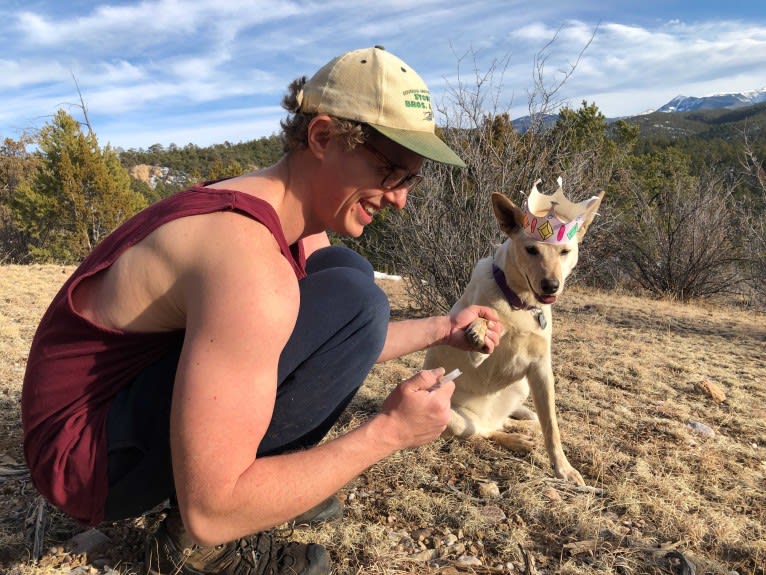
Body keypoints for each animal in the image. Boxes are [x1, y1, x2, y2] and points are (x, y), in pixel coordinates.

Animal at [426, 181, 608, 486]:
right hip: (453, 417)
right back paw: (517, 441)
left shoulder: (541, 370)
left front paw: (564, 469)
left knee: (508, 422)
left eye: (564, 252)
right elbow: (485, 321)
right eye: (531, 249)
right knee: (483, 431)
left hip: (521, 387)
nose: (551, 285)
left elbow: (551, 426)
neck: (519, 302)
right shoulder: (479, 353)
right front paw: (481, 327)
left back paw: (523, 430)